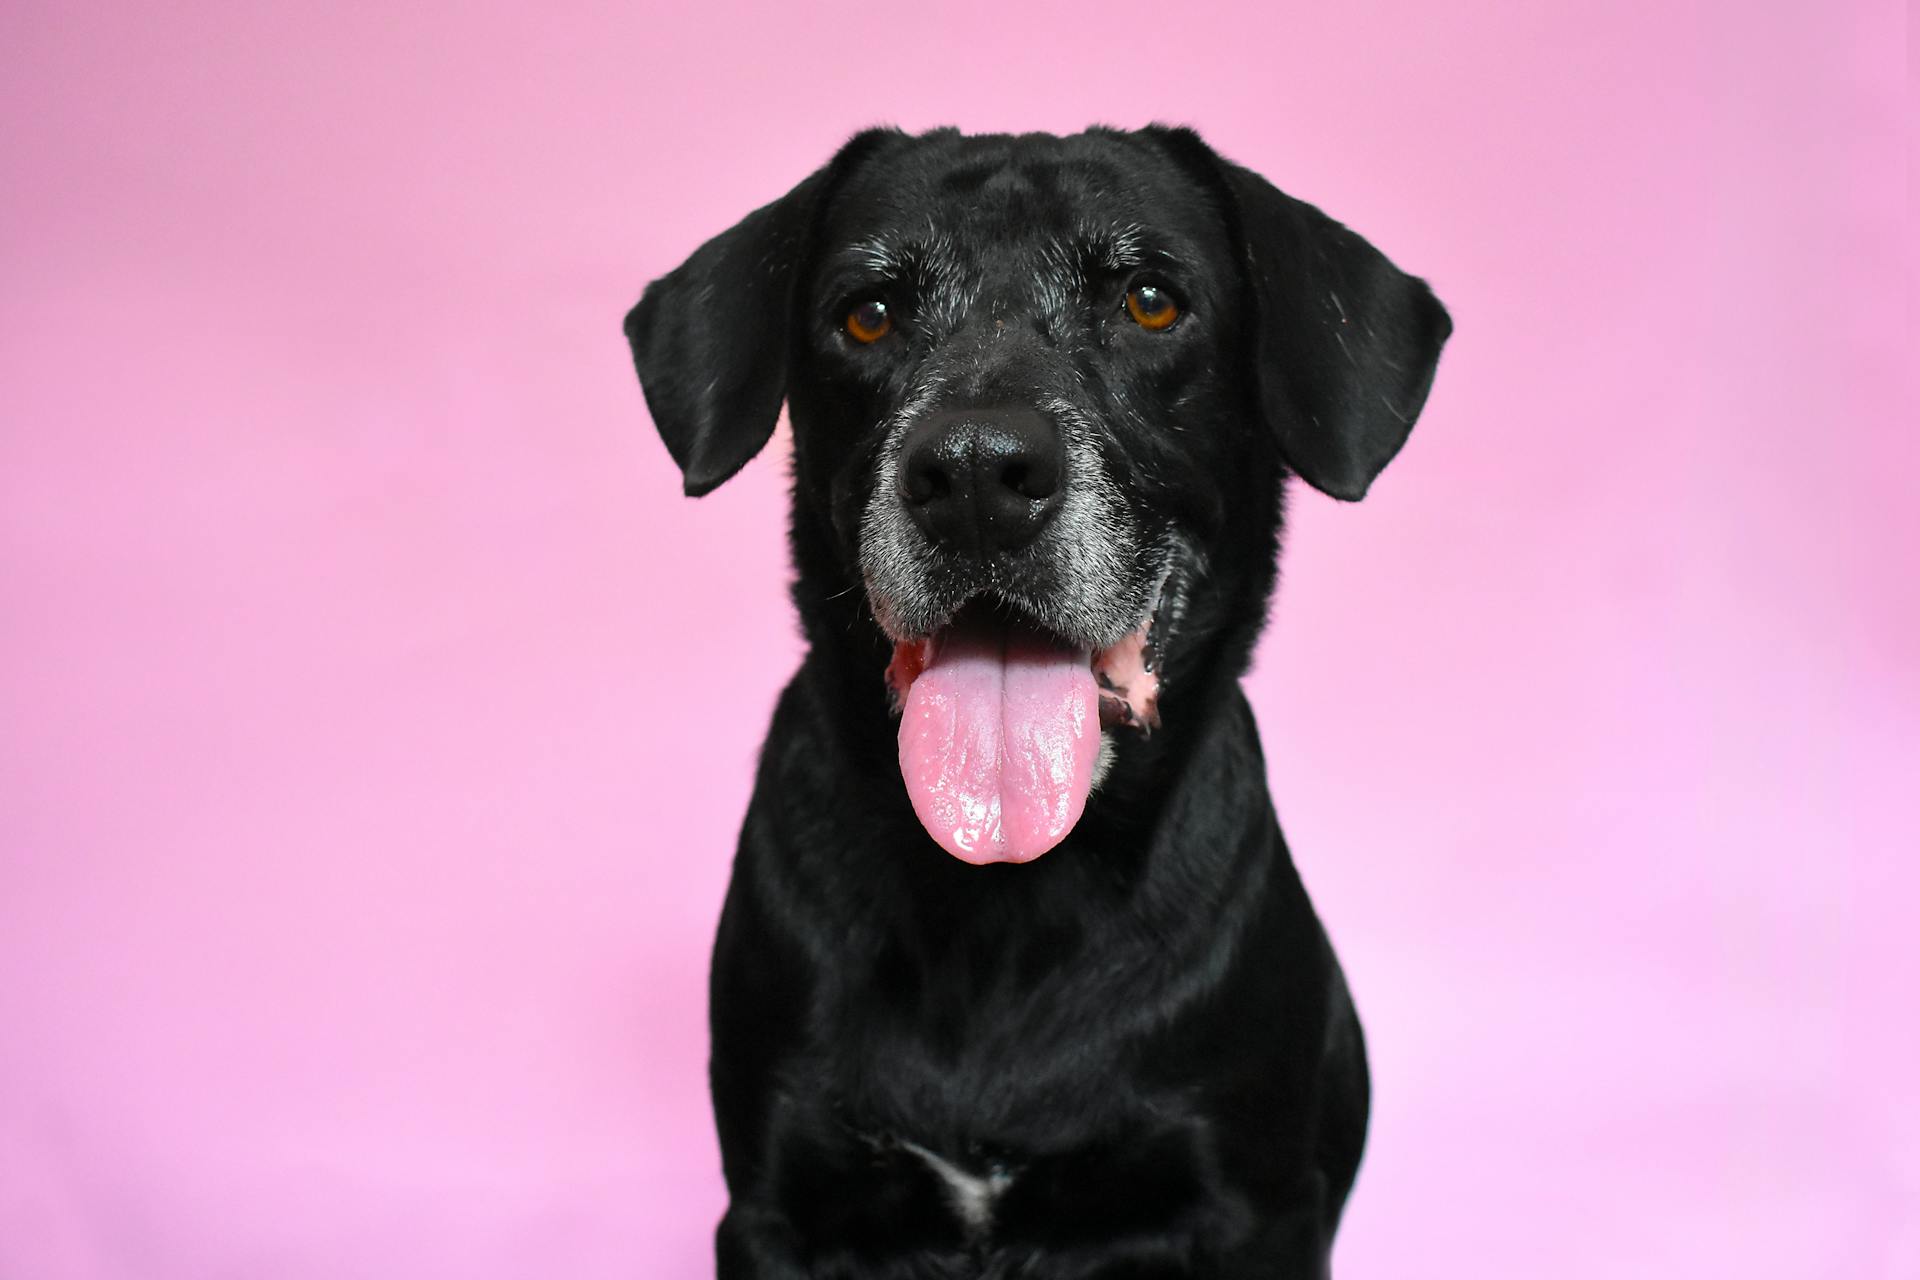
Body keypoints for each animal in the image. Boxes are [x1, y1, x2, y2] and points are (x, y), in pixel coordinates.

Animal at [622, 122, 1443, 1280]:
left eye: (1151, 299)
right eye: (867, 313)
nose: (975, 472)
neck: (1003, 898)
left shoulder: (1256, 1207)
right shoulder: (777, 1211)